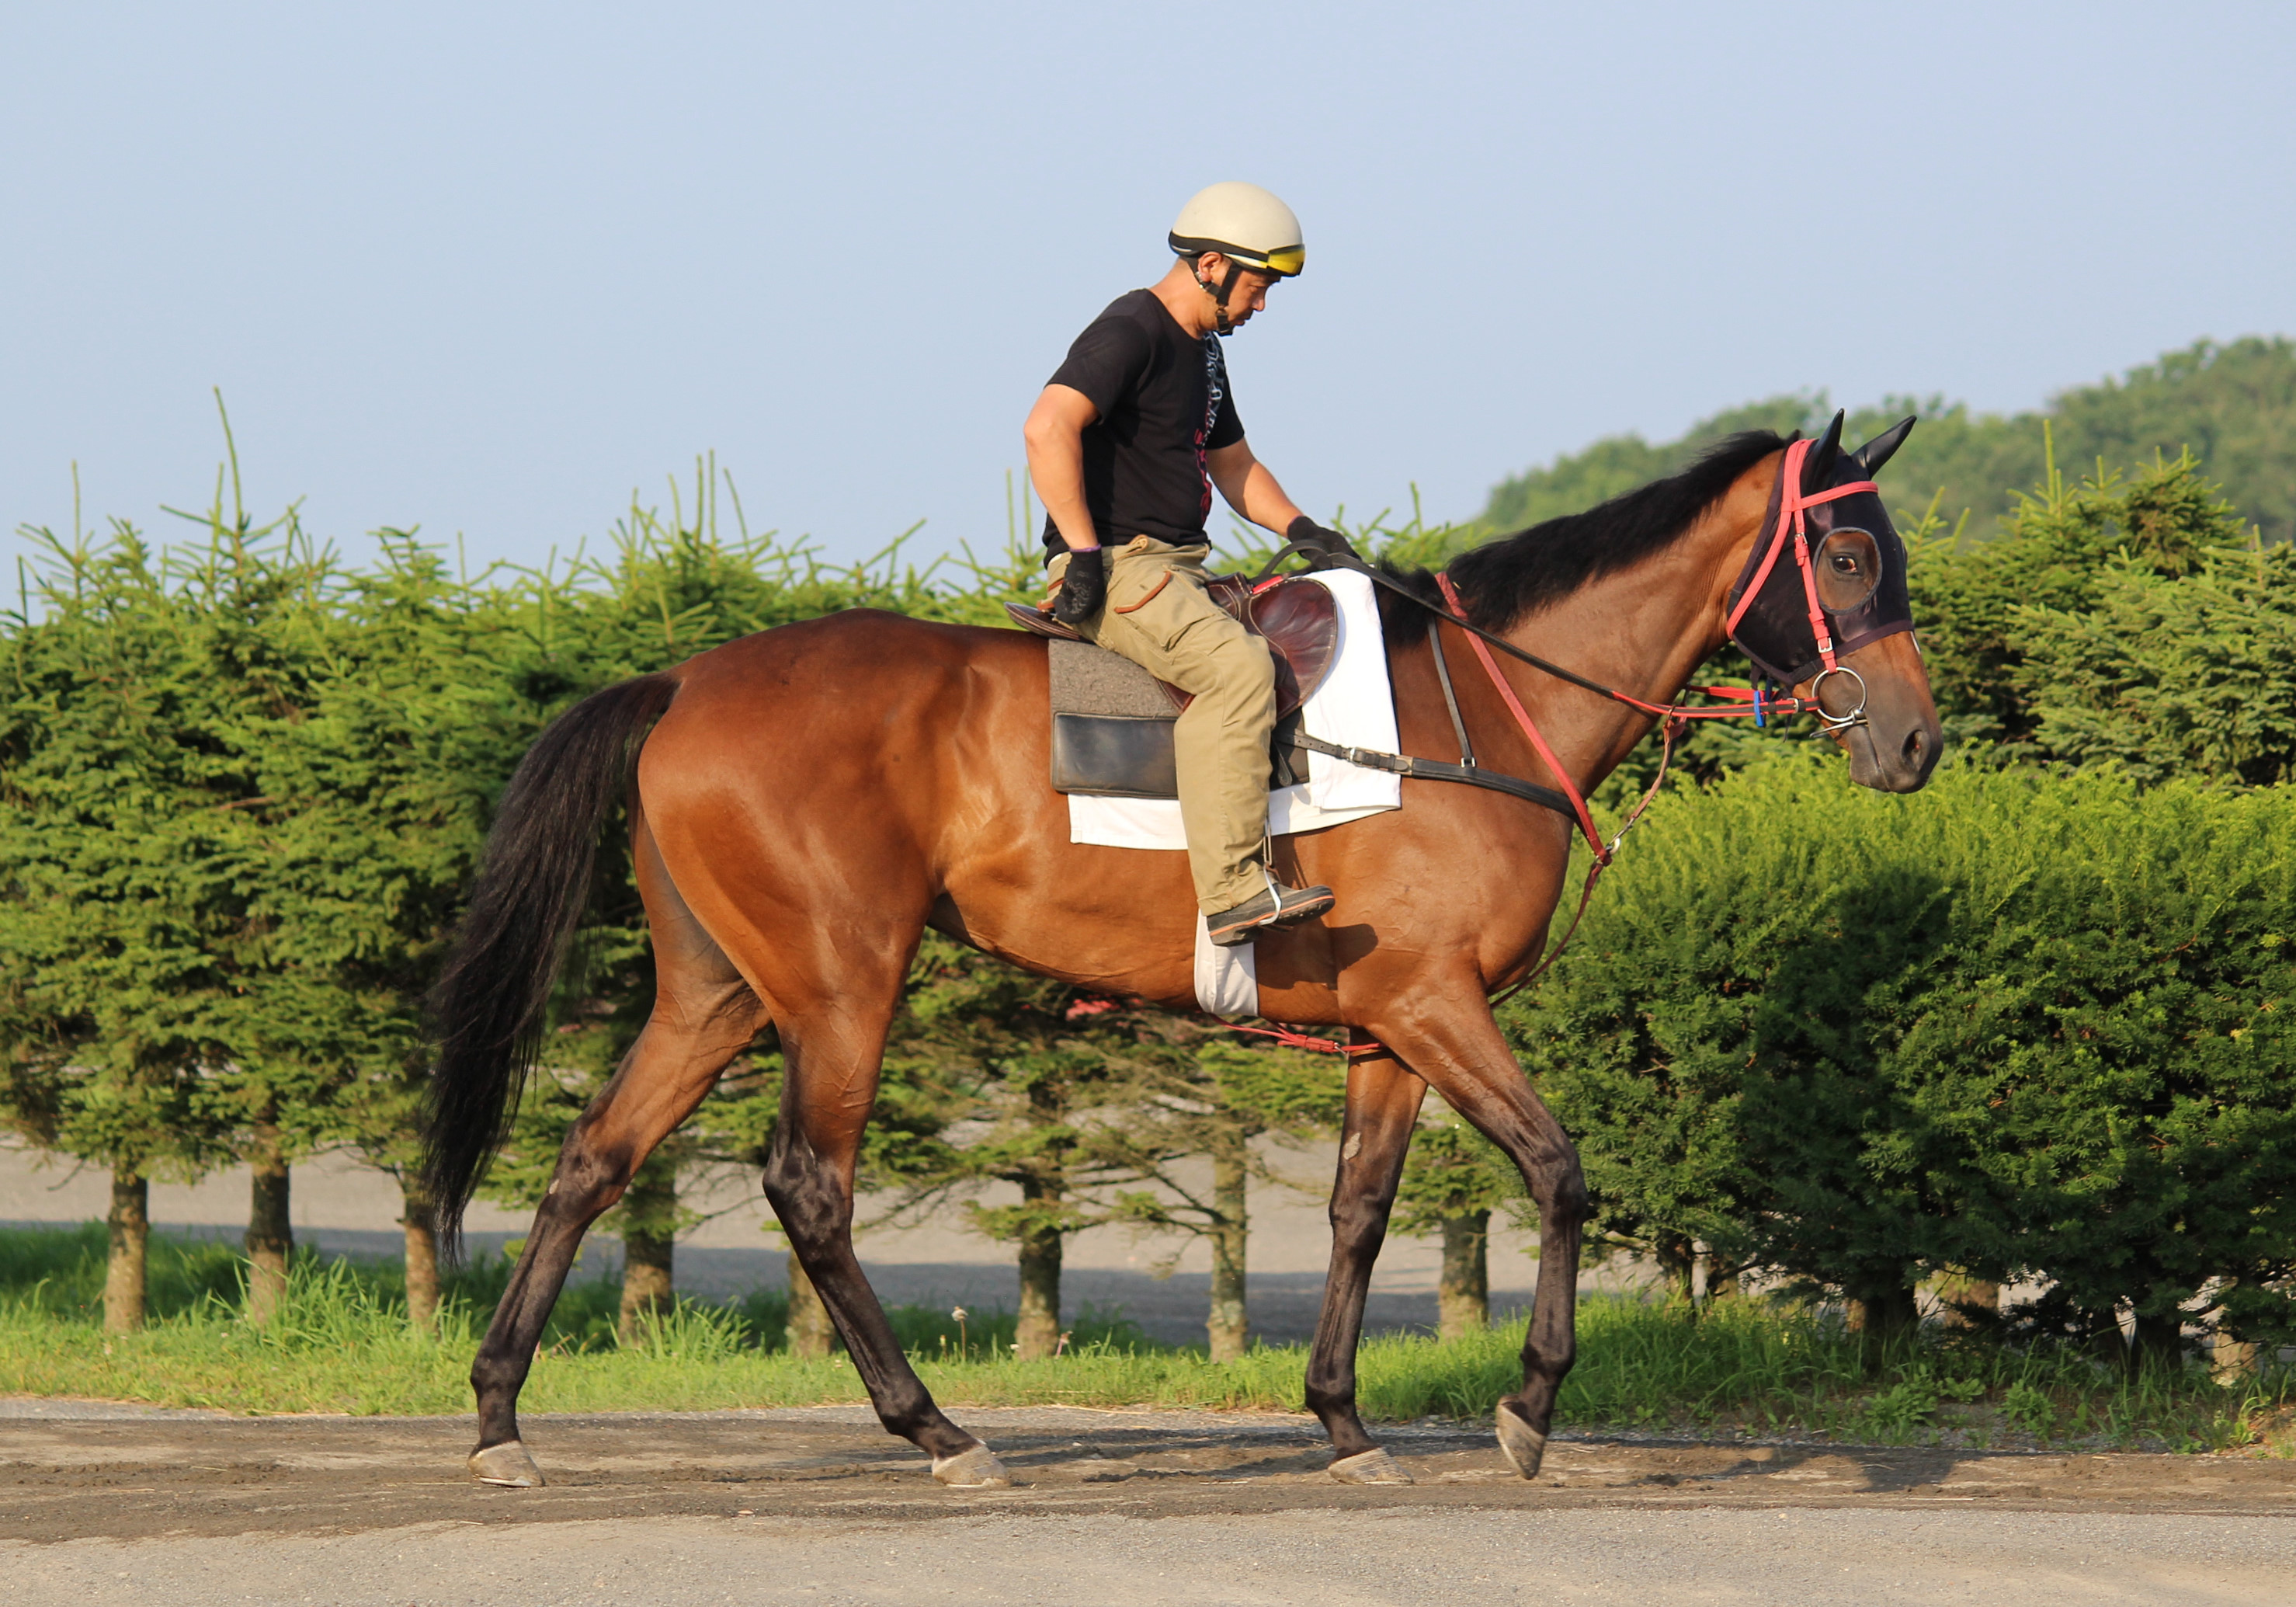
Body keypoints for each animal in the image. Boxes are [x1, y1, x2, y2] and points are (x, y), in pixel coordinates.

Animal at [427, 409, 1937, 1487]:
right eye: (1848, 556)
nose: (1915, 739)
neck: (1478, 703)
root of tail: (686, 675)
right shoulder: (1437, 1003)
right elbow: (1559, 1171)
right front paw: (1526, 1402)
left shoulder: (1390, 1027)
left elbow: (1358, 1210)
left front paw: (1341, 1420)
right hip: (841, 984)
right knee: (809, 1184)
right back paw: (935, 1427)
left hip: (718, 990)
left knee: (592, 1157)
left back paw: (500, 1415)